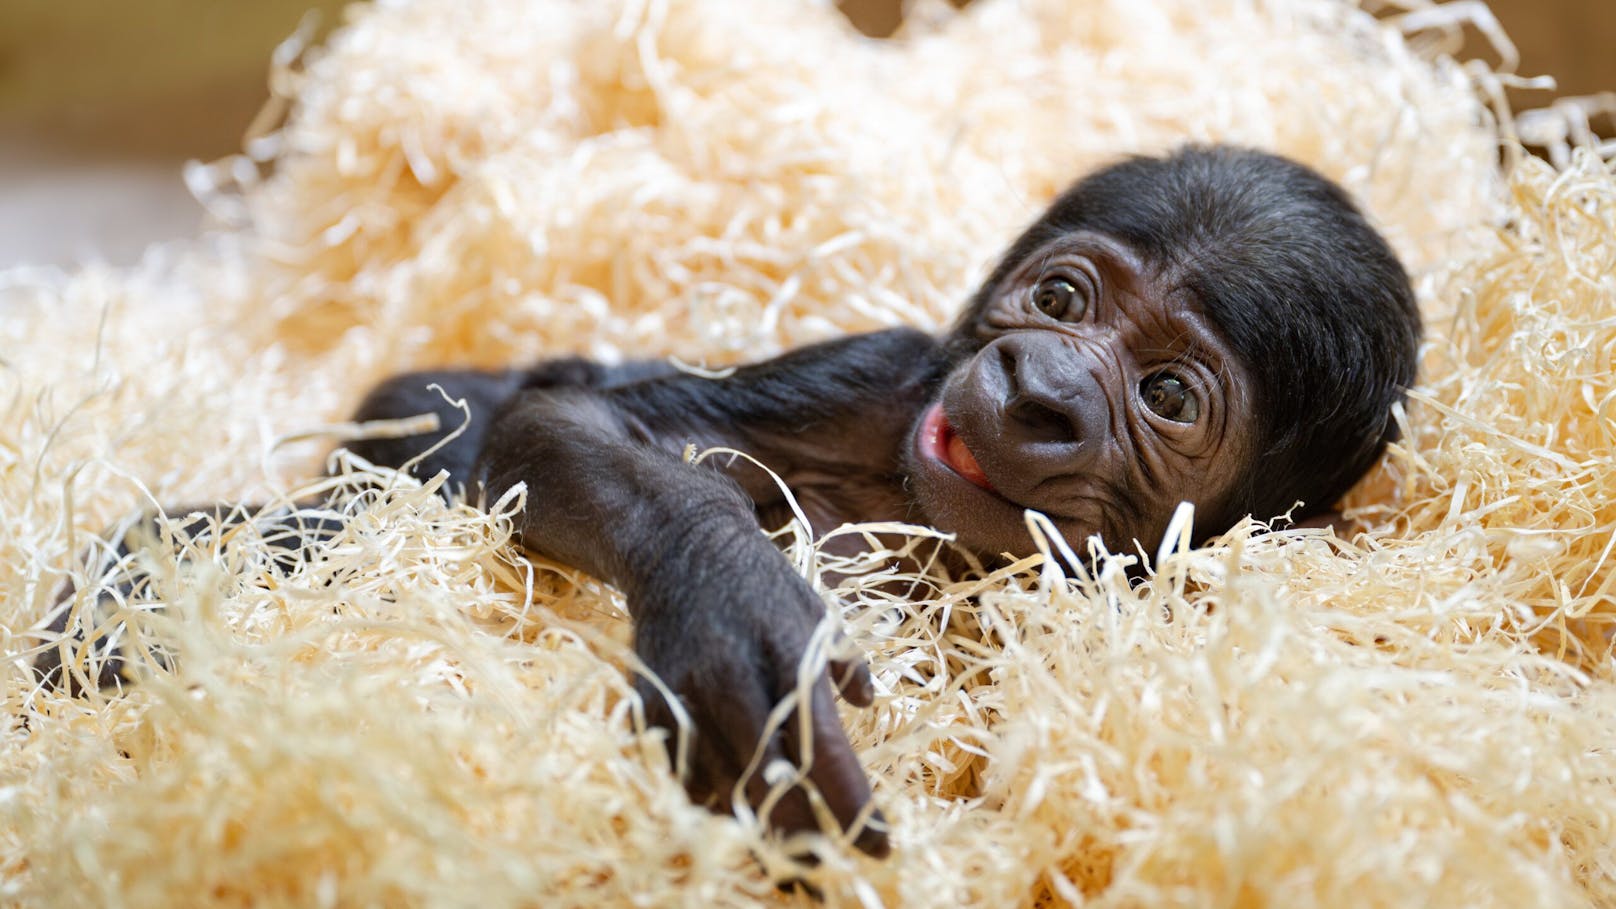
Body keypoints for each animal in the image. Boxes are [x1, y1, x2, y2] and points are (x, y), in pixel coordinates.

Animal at [37, 143, 1422, 854]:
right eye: (1062, 299)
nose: (1036, 387)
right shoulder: (873, 375)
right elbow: (574, 424)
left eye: (1166, 392)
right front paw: (732, 616)